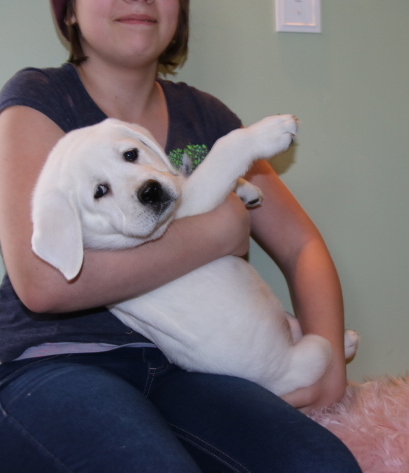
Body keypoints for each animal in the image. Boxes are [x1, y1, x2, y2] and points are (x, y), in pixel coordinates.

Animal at [32, 116, 356, 396]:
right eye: (100, 191)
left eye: (131, 154)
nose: (150, 192)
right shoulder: (190, 206)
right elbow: (224, 149)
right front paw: (268, 132)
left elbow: (189, 176)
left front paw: (246, 189)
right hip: (315, 351)